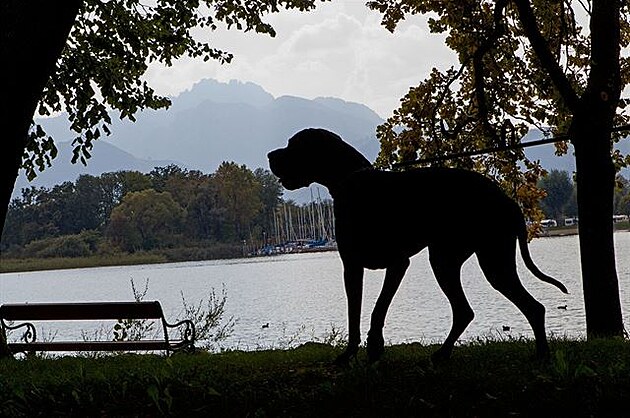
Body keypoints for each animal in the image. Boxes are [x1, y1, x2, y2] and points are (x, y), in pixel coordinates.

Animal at [270, 129, 572, 364]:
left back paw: (541, 355)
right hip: (451, 260)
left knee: (529, 307)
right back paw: (445, 354)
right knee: (468, 311)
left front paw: (375, 347)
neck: (352, 181)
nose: (270, 155)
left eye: (293, 145)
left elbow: (378, 308)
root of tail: (508, 200)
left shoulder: (396, 263)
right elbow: (354, 313)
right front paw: (351, 354)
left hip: (484, 261)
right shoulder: (353, 267)